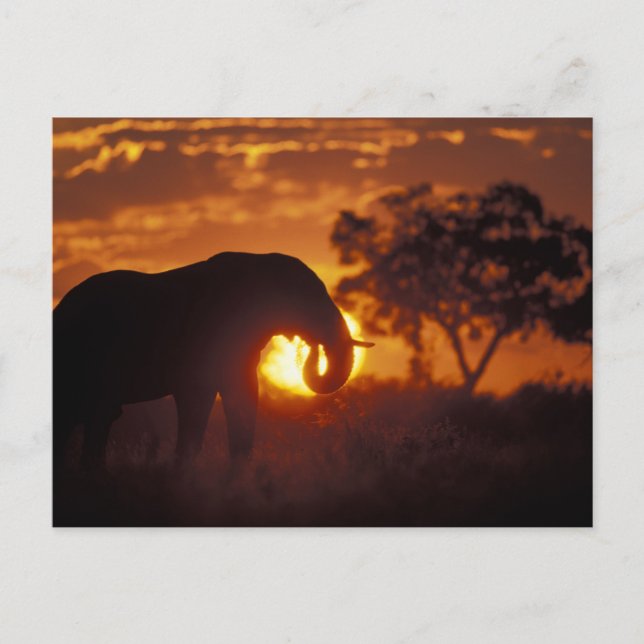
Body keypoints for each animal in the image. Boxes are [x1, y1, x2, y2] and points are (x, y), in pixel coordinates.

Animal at [53, 252, 373, 471]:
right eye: (310, 299)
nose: (312, 348)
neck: (261, 262)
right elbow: (197, 401)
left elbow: (243, 395)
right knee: (93, 415)